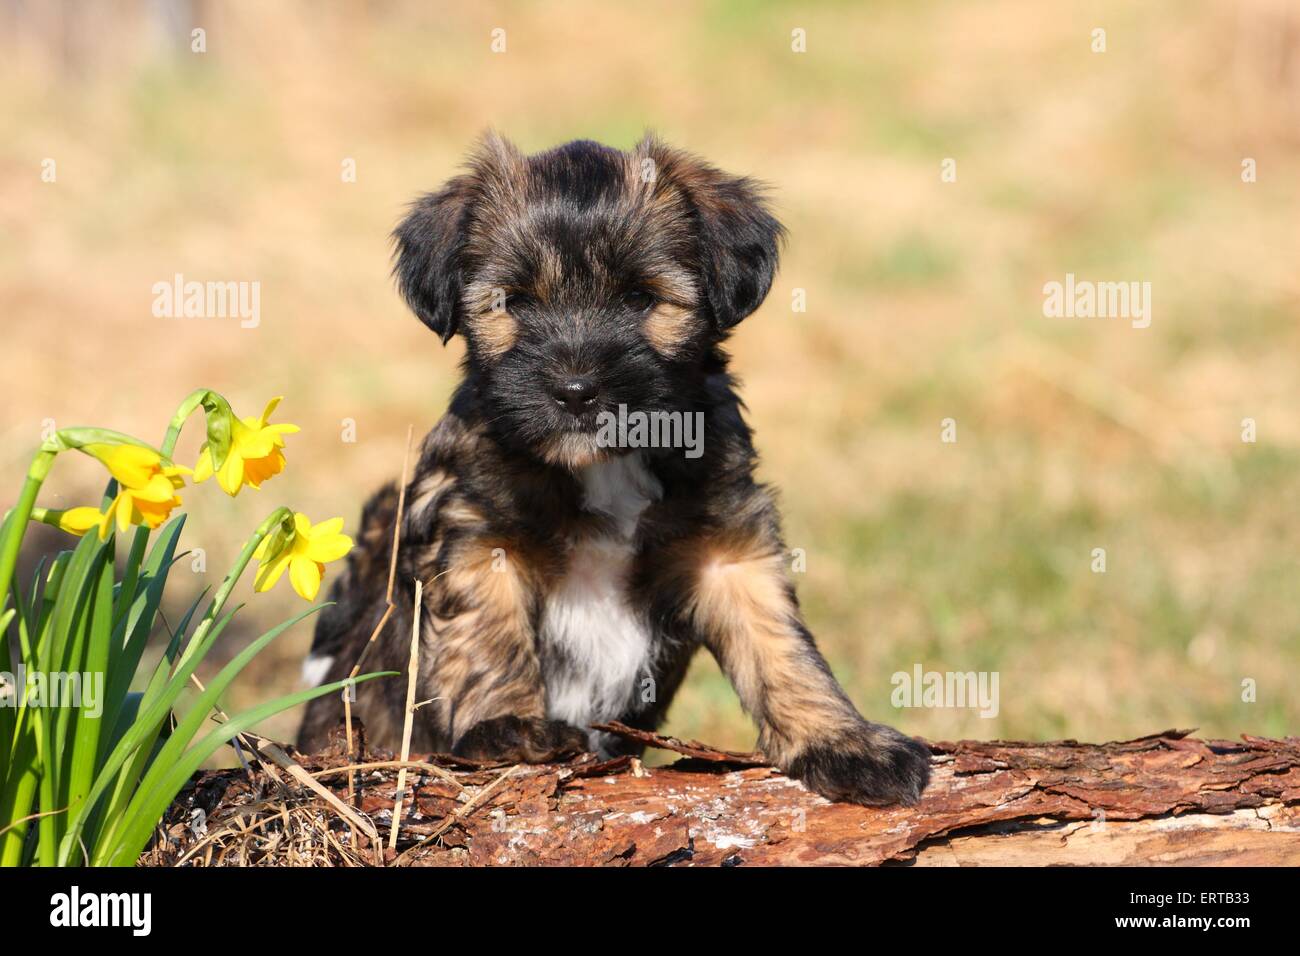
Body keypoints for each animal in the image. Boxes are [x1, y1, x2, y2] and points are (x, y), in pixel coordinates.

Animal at [299, 134, 930, 806]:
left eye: (639, 298)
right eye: (513, 301)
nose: (576, 391)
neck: (601, 468)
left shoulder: (731, 550)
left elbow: (780, 645)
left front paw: (845, 742)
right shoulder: (473, 532)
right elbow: (487, 633)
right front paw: (508, 728)